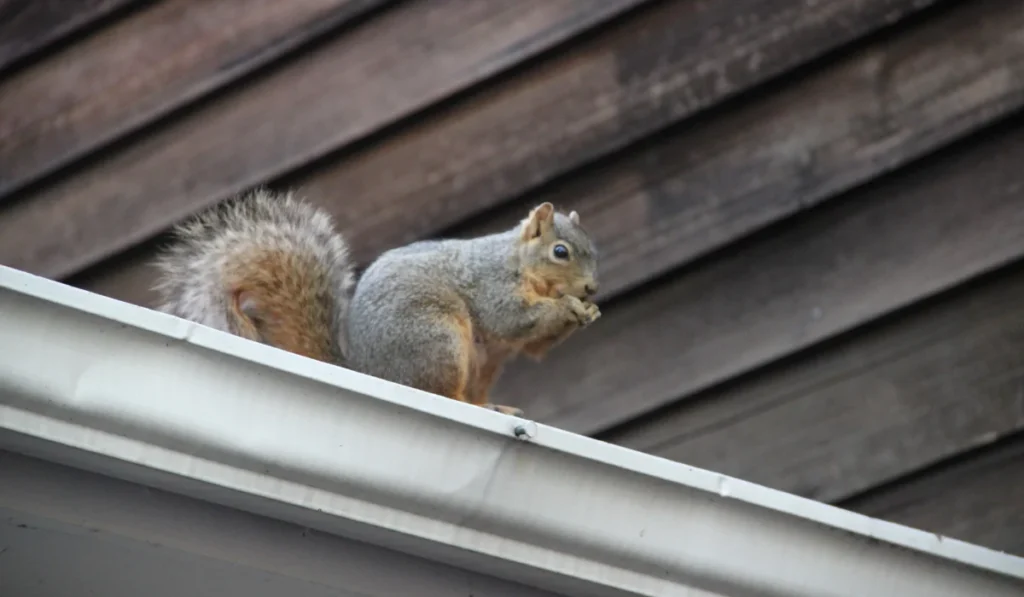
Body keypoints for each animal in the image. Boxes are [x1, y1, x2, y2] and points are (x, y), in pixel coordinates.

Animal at [153, 189, 601, 417]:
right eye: (561, 252)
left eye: (593, 250)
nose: (592, 289)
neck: (518, 263)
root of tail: (369, 371)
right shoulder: (491, 284)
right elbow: (513, 320)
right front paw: (568, 308)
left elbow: (534, 346)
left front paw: (588, 313)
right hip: (437, 340)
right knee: (439, 391)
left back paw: (494, 407)